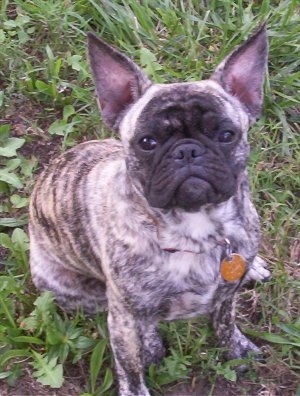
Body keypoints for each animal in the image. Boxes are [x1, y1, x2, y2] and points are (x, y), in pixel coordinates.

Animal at [29, 25, 270, 396]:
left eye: (227, 135)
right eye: (147, 142)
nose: (188, 151)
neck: (195, 230)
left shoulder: (227, 291)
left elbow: (225, 320)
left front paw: (237, 348)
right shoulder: (124, 317)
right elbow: (129, 366)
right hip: (77, 290)